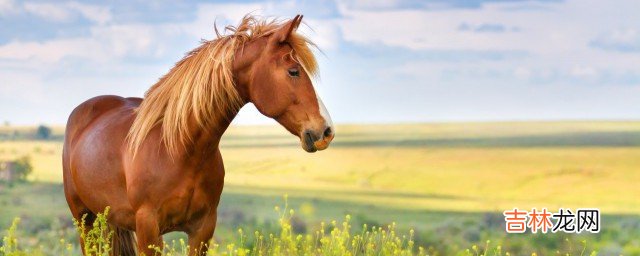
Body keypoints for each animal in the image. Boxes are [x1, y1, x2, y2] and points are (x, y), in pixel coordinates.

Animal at [62, 15, 336, 255]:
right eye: (293, 71)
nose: (326, 131)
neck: (179, 150)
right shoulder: (148, 229)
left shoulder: (202, 230)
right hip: (84, 220)